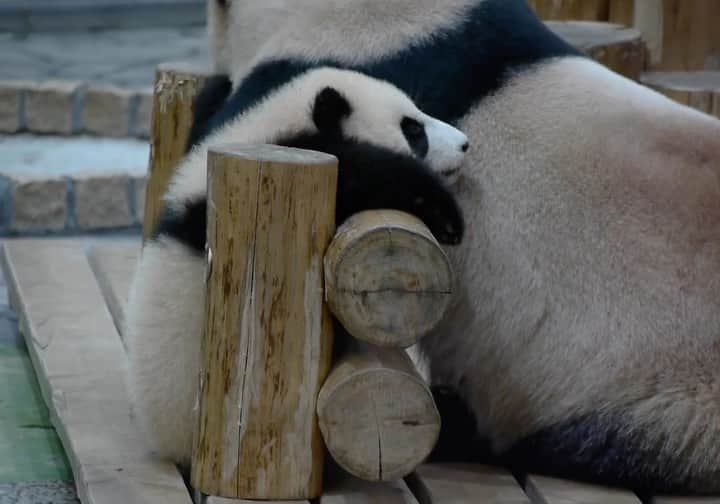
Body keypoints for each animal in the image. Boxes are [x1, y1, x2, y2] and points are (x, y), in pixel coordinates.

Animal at [126, 67, 470, 468]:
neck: (272, 128)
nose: (465, 144)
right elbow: (362, 172)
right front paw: (445, 214)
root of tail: (166, 446)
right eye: (412, 129)